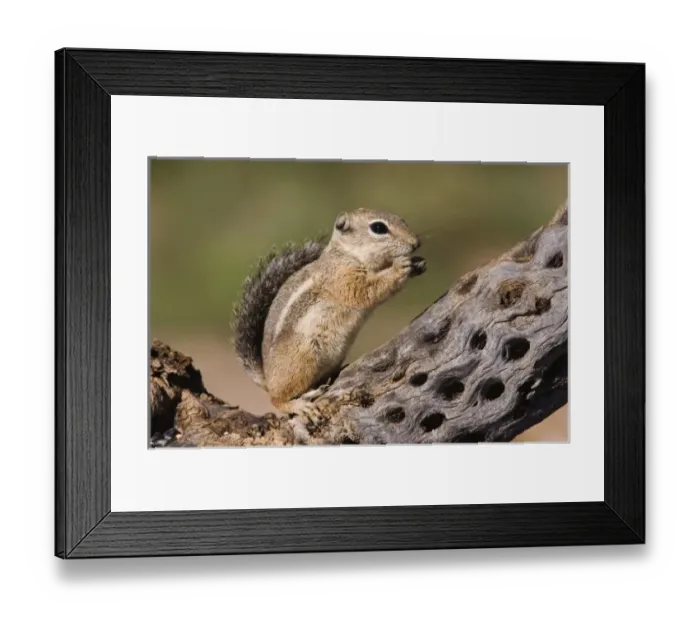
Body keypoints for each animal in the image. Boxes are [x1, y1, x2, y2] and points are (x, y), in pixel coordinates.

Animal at [231, 208, 426, 422]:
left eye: (402, 219)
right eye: (378, 227)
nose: (416, 243)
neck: (347, 253)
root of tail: (267, 377)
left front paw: (418, 264)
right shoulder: (342, 278)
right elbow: (368, 291)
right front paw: (400, 267)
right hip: (302, 360)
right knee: (276, 399)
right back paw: (299, 405)